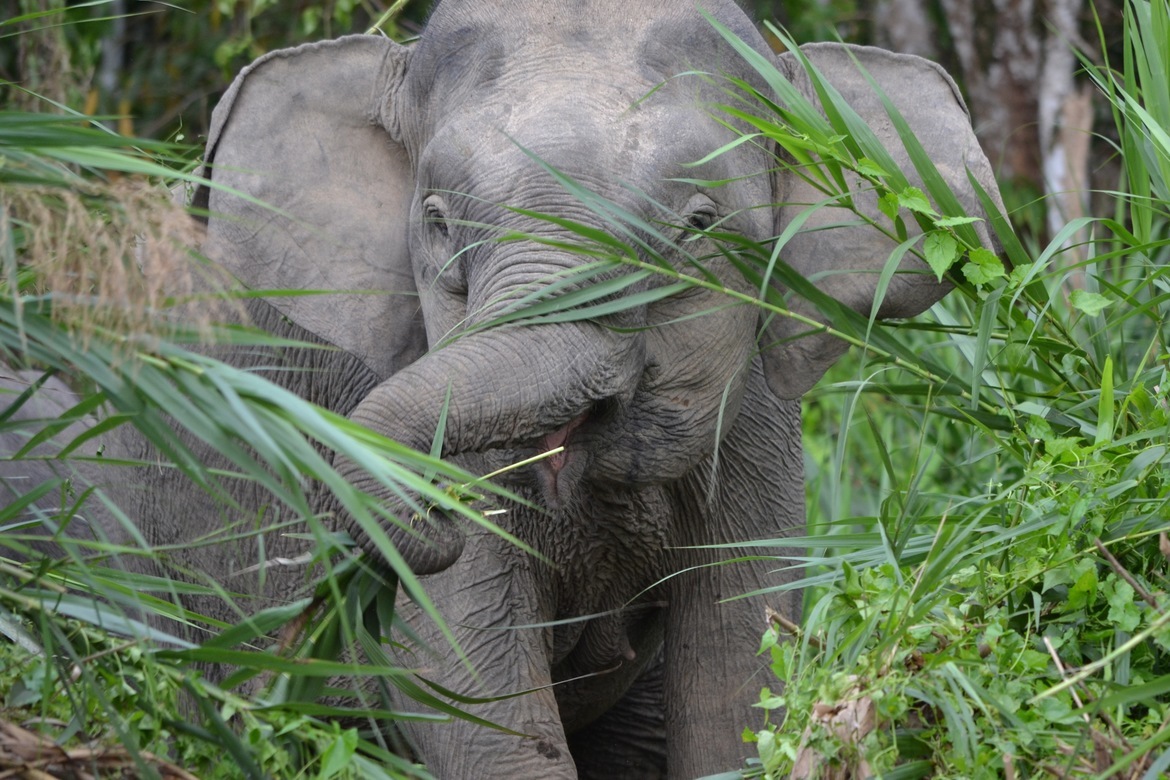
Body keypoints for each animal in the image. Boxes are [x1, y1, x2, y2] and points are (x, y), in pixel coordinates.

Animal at [12, 1, 1001, 778]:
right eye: (438, 225)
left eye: (698, 227)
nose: (414, 520)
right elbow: (464, 678)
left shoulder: (751, 427)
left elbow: (736, 672)